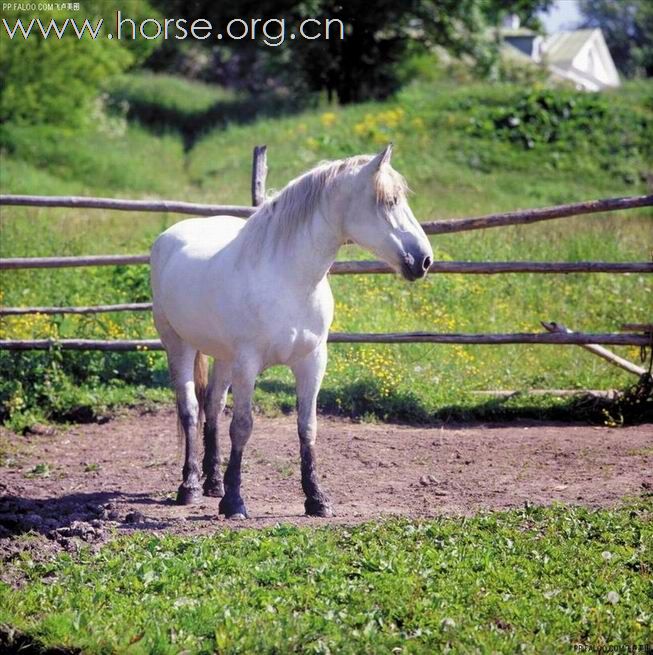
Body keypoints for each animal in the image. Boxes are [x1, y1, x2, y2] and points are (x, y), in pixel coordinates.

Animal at [150, 146, 430, 520]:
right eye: (389, 201)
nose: (424, 260)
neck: (288, 278)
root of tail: (169, 237)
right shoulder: (248, 364)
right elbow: (242, 426)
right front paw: (235, 502)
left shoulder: (312, 361)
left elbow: (307, 427)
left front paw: (317, 499)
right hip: (178, 345)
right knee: (190, 409)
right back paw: (190, 486)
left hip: (224, 357)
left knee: (212, 406)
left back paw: (214, 483)